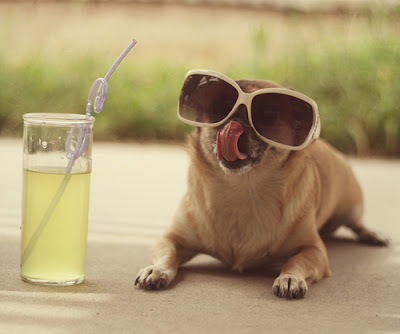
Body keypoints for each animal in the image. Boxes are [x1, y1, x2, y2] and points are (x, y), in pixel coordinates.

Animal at [135, 72, 388, 298]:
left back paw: (373, 234)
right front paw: (157, 269)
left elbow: (296, 261)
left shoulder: (314, 250)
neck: (244, 189)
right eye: (217, 110)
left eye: (268, 116)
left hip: (351, 207)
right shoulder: (171, 238)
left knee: (357, 224)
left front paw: (290, 278)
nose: (234, 123)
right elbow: (167, 253)